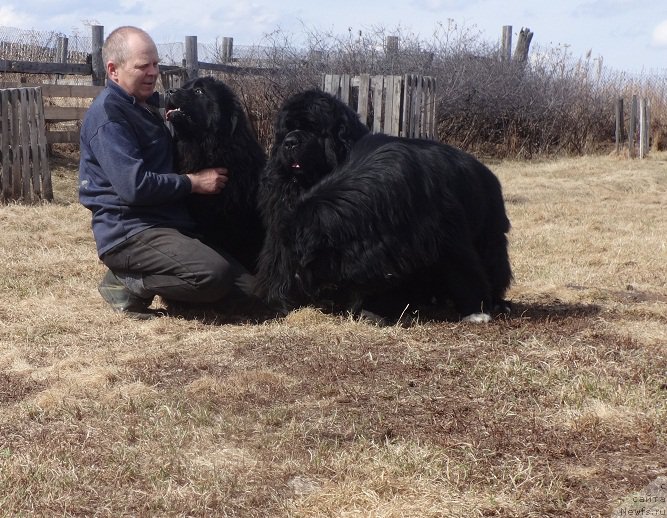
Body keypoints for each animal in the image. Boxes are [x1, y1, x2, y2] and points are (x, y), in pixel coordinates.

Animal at [254, 90, 512, 324]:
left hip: (489, 232)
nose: (289, 142)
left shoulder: (446, 236)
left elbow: (463, 269)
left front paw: (476, 310)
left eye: (312, 128)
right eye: (286, 130)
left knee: (492, 263)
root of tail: (485, 170)